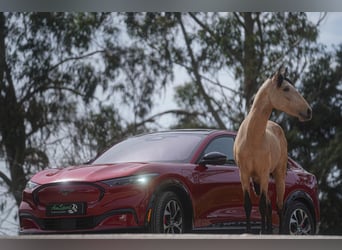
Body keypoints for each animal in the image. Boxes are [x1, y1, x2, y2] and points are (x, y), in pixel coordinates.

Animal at [234, 67, 312, 234]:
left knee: (279, 207)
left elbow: (262, 206)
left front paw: (263, 232)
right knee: (270, 206)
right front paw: (250, 231)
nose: (309, 111)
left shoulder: (263, 173)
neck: (252, 138)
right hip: (259, 180)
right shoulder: (244, 175)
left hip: (278, 176)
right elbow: (249, 205)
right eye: (286, 88)